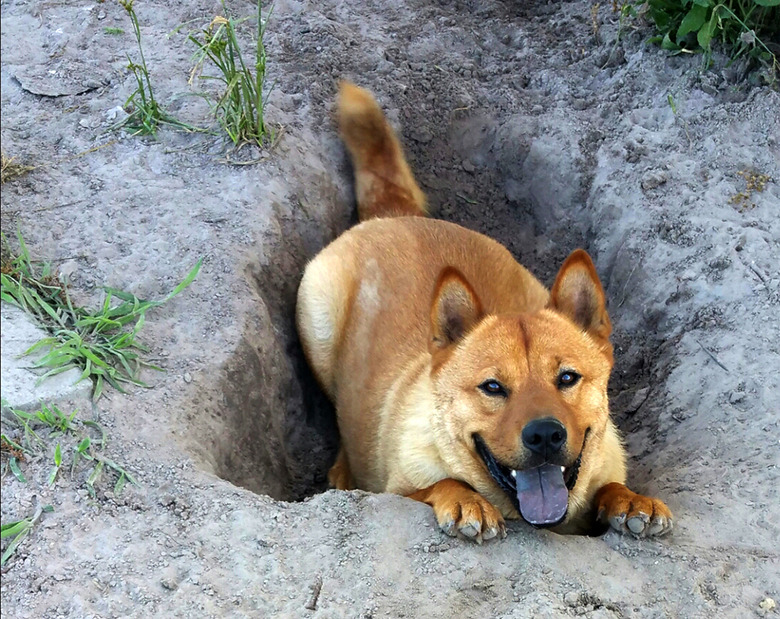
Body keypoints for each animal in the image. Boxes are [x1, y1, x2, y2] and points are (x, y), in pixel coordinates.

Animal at [296, 82, 672, 544]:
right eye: (492, 387)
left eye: (568, 378)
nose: (545, 435)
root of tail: (398, 213)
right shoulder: (400, 489)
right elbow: (439, 482)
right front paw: (464, 498)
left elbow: (611, 485)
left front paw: (629, 499)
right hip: (318, 321)